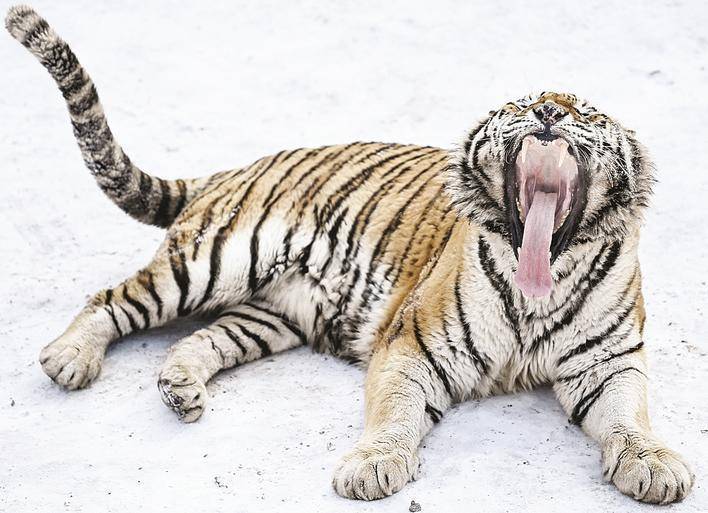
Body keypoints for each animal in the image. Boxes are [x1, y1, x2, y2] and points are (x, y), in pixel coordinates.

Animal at [5, 4, 696, 504]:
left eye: (587, 114)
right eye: (521, 106)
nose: (550, 111)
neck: (540, 287)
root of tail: (237, 167)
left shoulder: (609, 364)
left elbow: (632, 419)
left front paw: (656, 466)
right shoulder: (412, 345)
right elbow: (394, 413)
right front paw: (372, 467)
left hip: (266, 316)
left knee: (199, 339)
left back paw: (181, 390)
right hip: (213, 260)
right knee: (113, 297)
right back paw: (70, 359)